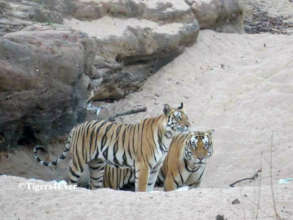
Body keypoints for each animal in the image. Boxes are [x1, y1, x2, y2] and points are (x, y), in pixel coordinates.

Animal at [33, 102, 189, 191]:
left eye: (187, 117)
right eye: (178, 118)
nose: (189, 125)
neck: (167, 136)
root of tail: (77, 126)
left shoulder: (156, 166)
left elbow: (150, 185)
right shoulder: (144, 164)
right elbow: (142, 185)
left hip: (97, 165)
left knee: (94, 185)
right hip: (79, 160)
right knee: (72, 177)